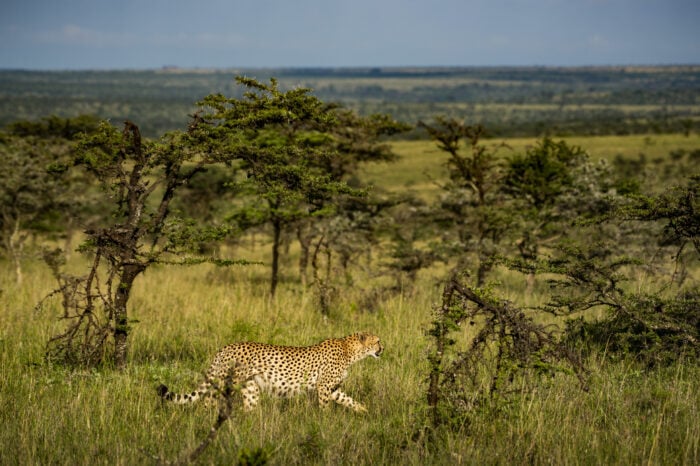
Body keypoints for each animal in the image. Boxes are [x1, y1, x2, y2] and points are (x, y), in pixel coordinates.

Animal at [158, 332, 382, 412]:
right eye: (377, 341)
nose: (383, 349)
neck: (350, 350)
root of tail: (226, 346)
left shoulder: (332, 388)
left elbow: (349, 400)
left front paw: (364, 411)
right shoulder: (324, 387)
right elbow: (325, 406)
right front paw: (325, 422)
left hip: (250, 388)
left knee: (248, 408)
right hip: (226, 382)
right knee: (208, 398)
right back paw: (206, 418)